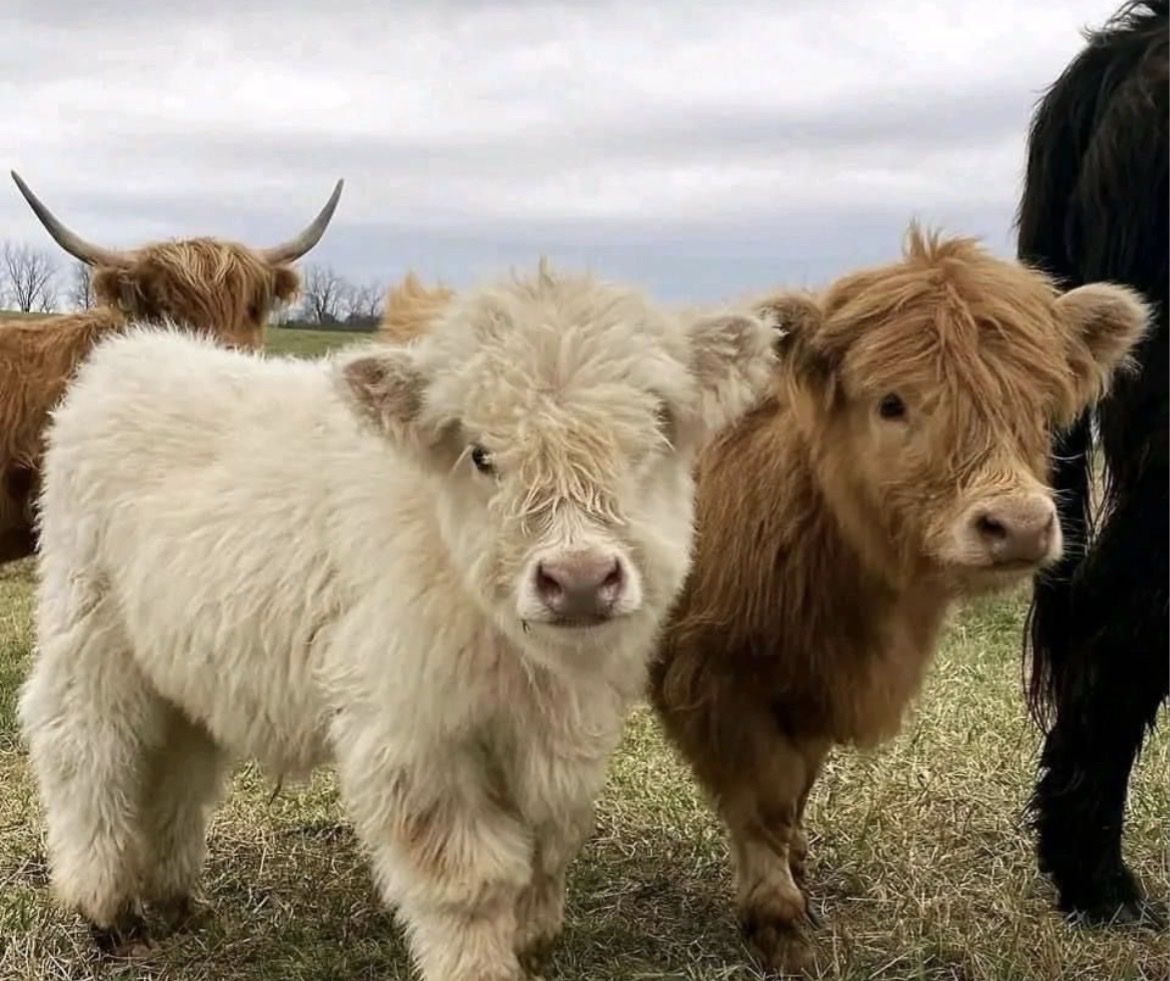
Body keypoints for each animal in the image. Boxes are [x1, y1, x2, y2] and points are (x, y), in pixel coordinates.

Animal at [17, 261, 780, 981]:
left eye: (653, 434)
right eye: (481, 454)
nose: (581, 579)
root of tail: (133, 353)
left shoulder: (560, 737)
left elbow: (548, 847)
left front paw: (532, 943)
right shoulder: (414, 735)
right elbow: (467, 877)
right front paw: (478, 966)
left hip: (179, 654)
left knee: (176, 757)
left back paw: (174, 898)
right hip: (88, 625)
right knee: (86, 744)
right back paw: (106, 905)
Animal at [644, 227, 1151, 974]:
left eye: (1039, 408)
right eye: (891, 403)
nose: (1019, 525)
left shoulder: (818, 686)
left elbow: (797, 789)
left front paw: (799, 876)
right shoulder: (714, 677)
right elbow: (765, 801)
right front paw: (780, 927)